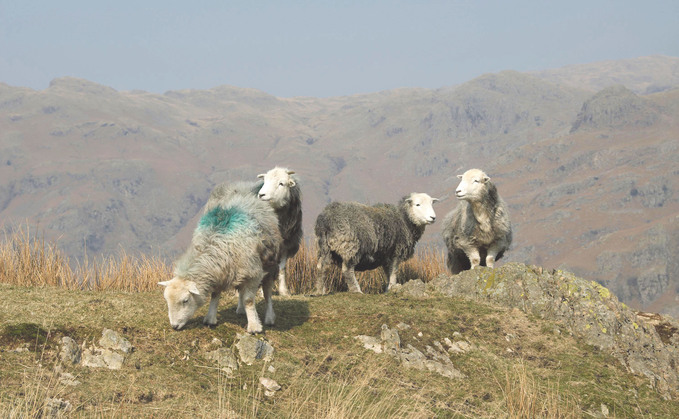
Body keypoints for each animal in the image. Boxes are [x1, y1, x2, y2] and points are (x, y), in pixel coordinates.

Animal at [159, 187, 282, 334]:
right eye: (166, 300)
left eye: (185, 300)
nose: (174, 326)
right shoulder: (219, 272)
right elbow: (215, 294)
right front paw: (210, 318)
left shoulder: (253, 274)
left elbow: (248, 300)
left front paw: (254, 327)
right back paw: (241, 310)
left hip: (270, 265)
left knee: (267, 293)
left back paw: (269, 318)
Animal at [256, 166, 304, 296]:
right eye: (264, 181)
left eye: (281, 183)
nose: (261, 195)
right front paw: (261, 293)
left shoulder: (286, 244)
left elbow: (282, 269)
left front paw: (284, 291)